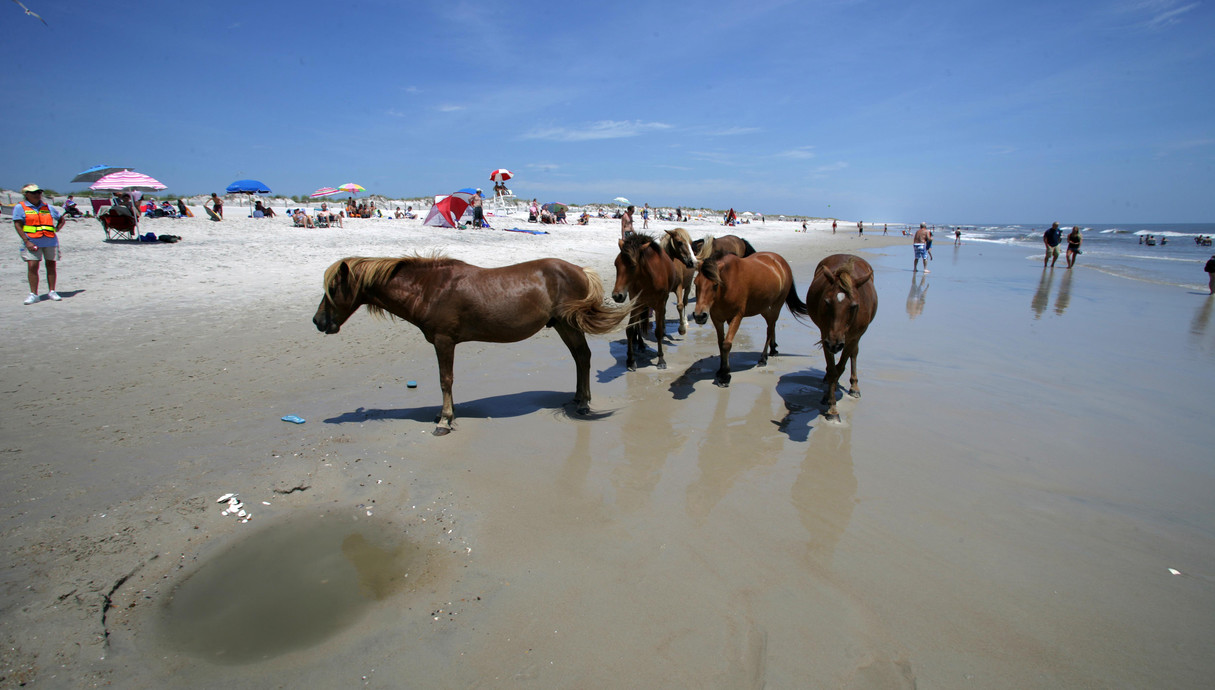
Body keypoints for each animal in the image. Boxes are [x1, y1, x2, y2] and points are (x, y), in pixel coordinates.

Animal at [313, 256, 626, 434]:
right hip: (562, 325)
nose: (318, 321)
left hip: (568, 324)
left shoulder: (444, 341)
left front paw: (444, 420)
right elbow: (446, 381)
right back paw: (578, 398)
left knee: (583, 356)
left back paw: (583, 403)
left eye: (332, 289)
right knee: (579, 357)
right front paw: (444, 414)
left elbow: (445, 380)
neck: (429, 288)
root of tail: (579, 269)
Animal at [612, 230, 699, 371]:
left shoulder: (660, 303)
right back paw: (640, 344)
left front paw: (661, 359)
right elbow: (630, 329)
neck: (647, 278)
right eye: (616, 264)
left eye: (633, 266)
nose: (617, 296)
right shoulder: (636, 303)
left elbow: (658, 331)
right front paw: (630, 360)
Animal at [690, 249, 811, 388]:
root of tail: (780, 261)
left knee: (769, 329)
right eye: (696, 283)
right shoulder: (717, 319)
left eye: (715, 285)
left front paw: (725, 376)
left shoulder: (736, 317)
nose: (699, 316)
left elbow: (726, 344)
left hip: (776, 306)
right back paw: (773, 349)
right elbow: (721, 343)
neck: (728, 285)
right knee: (772, 325)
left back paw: (763, 358)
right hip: (764, 307)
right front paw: (720, 370)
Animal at [801, 250, 879, 417]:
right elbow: (832, 371)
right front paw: (831, 407)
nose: (835, 344)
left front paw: (832, 402)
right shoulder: (825, 335)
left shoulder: (853, 337)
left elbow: (841, 366)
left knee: (854, 354)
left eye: (854, 306)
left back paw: (854, 387)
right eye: (827, 302)